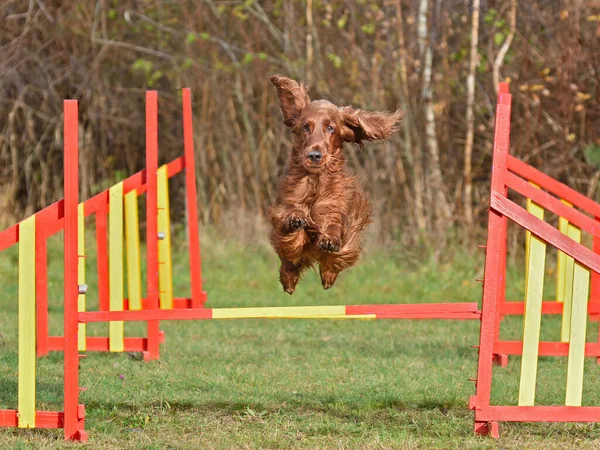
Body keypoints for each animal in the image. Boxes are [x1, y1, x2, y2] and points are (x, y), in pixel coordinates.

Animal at [268, 75, 400, 294]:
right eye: (306, 126)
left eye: (330, 128)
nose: (314, 155)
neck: (316, 182)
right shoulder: (286, 208)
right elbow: (290, 227)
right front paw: (295, 219)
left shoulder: (338, 213)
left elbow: (333, 227)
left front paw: (329, 239)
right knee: (289, 262)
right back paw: (289, 279)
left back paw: (328, 275)